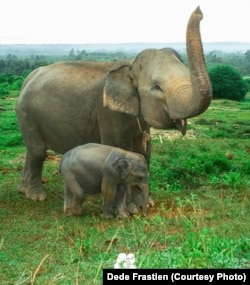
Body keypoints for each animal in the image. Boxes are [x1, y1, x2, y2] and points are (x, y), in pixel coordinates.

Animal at [15, 6, 211, 210]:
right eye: (157, 87)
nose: (199, 11)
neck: (131, 67)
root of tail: (27, 80)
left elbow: (144, 153)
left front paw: (146, 204)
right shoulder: (108, 114)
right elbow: (121, 148)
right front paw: (129, 208)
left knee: (31, 150)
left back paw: (22, 190)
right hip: (27, 113)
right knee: (38, 152)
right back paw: (36, 197)